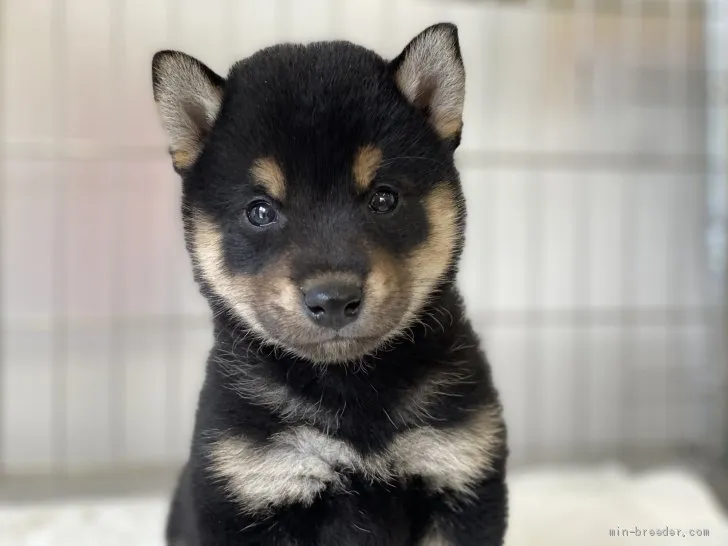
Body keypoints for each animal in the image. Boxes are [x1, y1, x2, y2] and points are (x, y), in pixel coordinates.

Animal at [151, 22, 510, 544]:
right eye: (260, 211)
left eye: (384, 198)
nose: (334, 299)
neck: (351, 390)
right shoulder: (255, 485)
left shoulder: (458, 474)